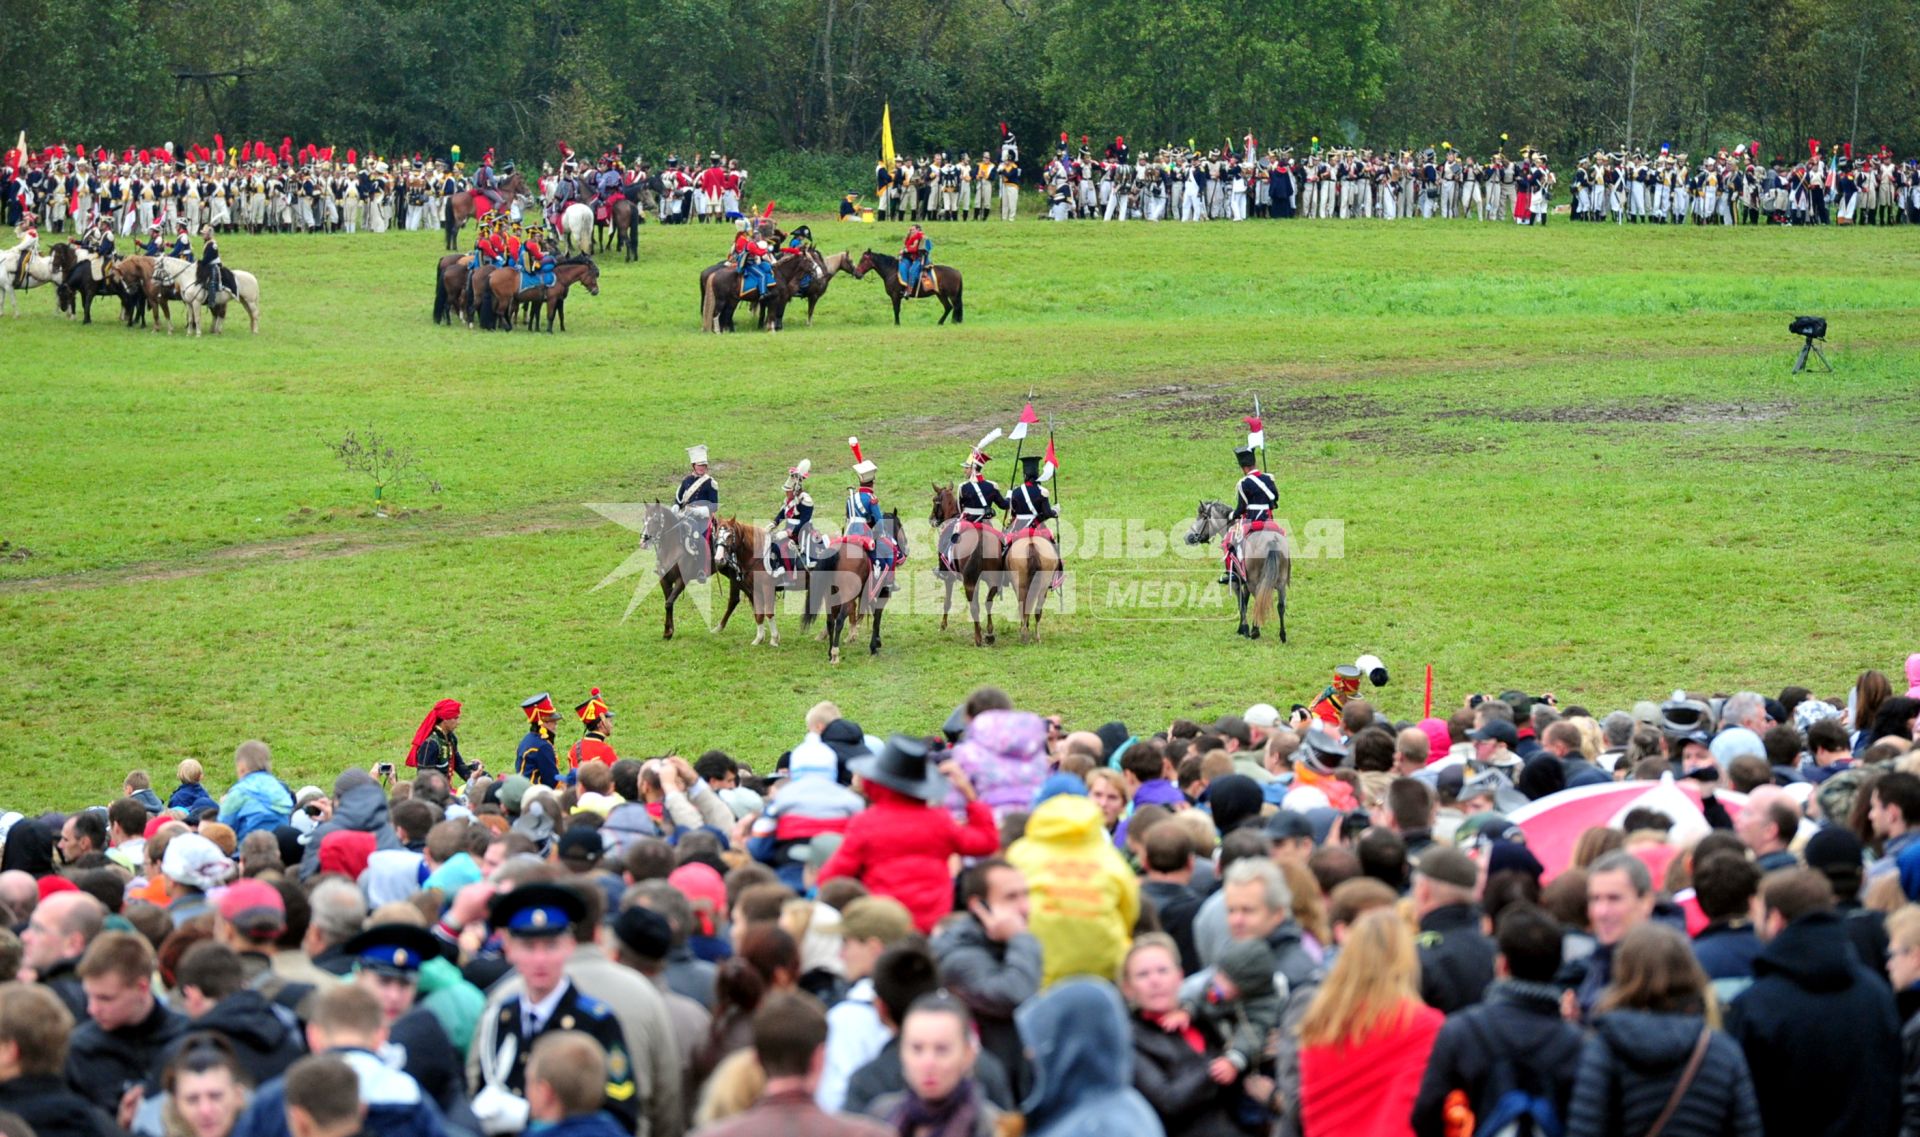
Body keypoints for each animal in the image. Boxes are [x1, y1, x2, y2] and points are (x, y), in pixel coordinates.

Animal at [925, 485, 1006, 649]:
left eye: (935, 500)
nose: (932, 519)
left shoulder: (949, 578)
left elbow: (947, 602)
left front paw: (943, 625)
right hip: (991, 580)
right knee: (987, 603)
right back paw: (989, 634)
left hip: (969, 582)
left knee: (974, 606)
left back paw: (978, 638)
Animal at [1182, 503, 1290, 645]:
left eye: (1203, 517)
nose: (1188, 537)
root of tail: (1272, 541)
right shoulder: (1246, 582)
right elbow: (1245, 601)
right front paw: (1242, 628)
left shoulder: (1236, 582)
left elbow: (1241, 603)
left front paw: (1244, 629)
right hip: (1281, 582)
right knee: (1281, 606)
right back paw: (1282, 635)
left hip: (1256, 583)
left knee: (1258, 602)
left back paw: (1255, 631)